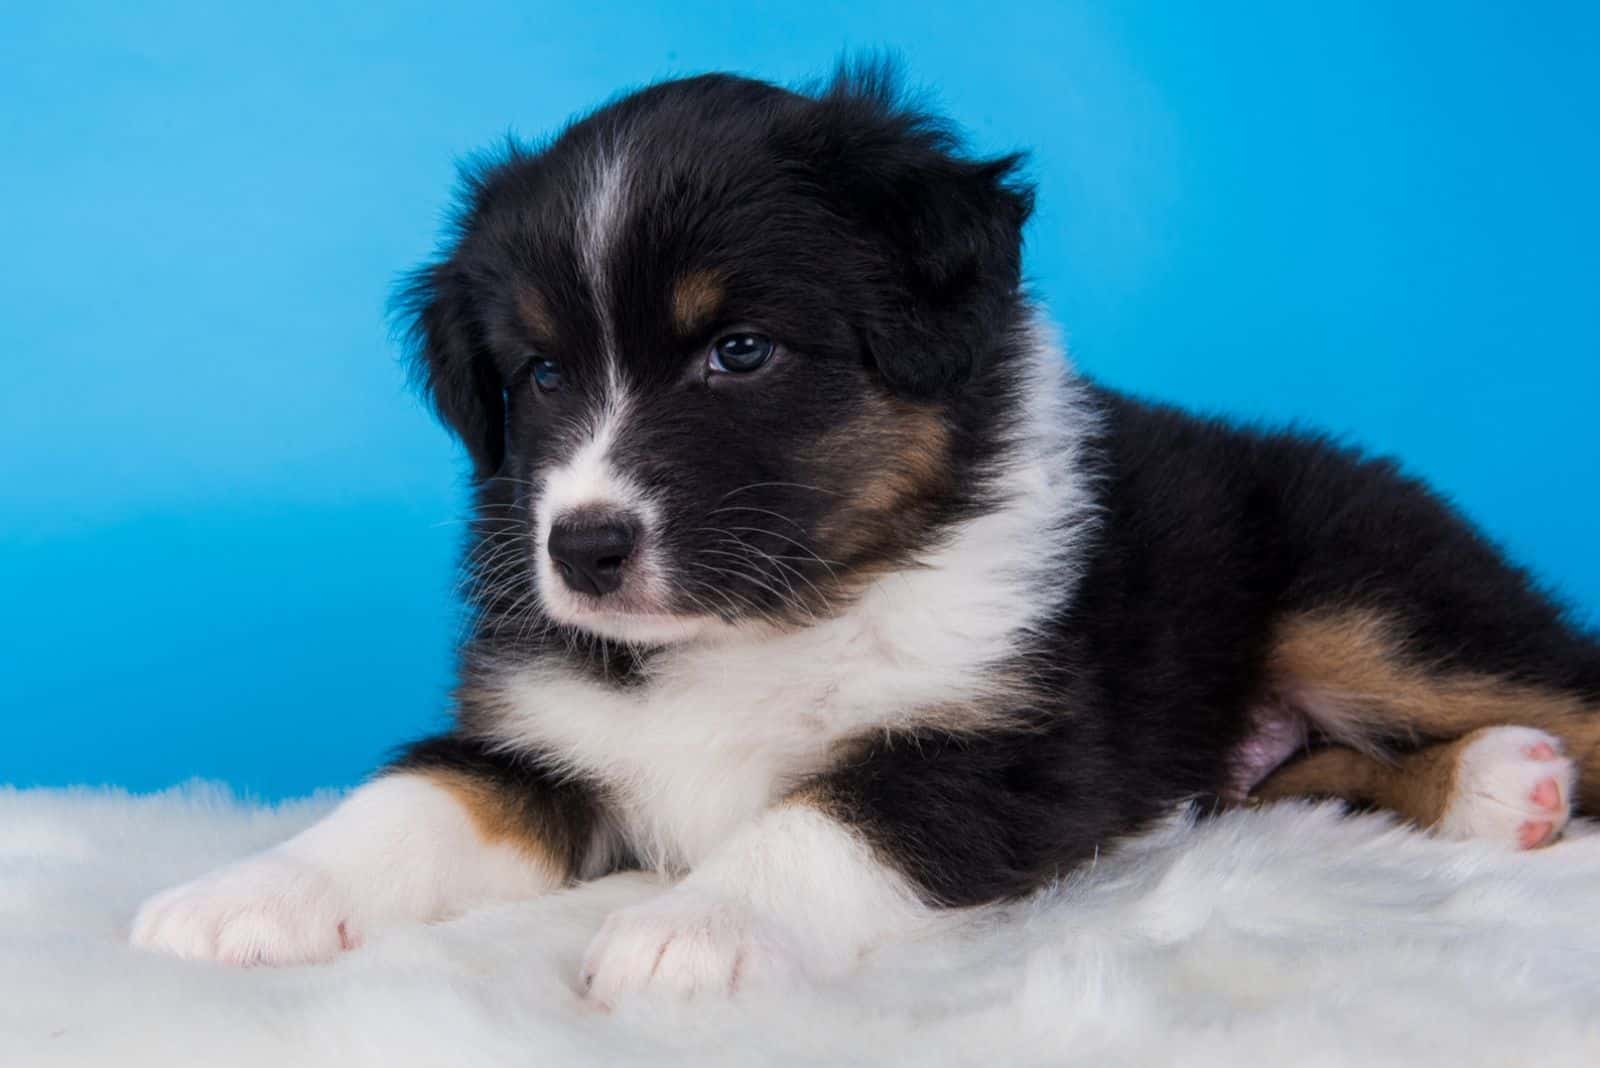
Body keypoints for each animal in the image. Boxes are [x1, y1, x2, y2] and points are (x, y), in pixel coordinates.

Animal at [128, 68, 1600, 1004]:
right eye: (538, 374)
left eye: (739, 352)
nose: (583, 551)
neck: (770, 618)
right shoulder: (544, 734)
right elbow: (415, 799)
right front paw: (243, 896)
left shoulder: (1010, 742)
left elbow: (826, 817)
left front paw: (690, 931)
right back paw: (1496, 788)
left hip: (1367, 604)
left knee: (1556, 689)